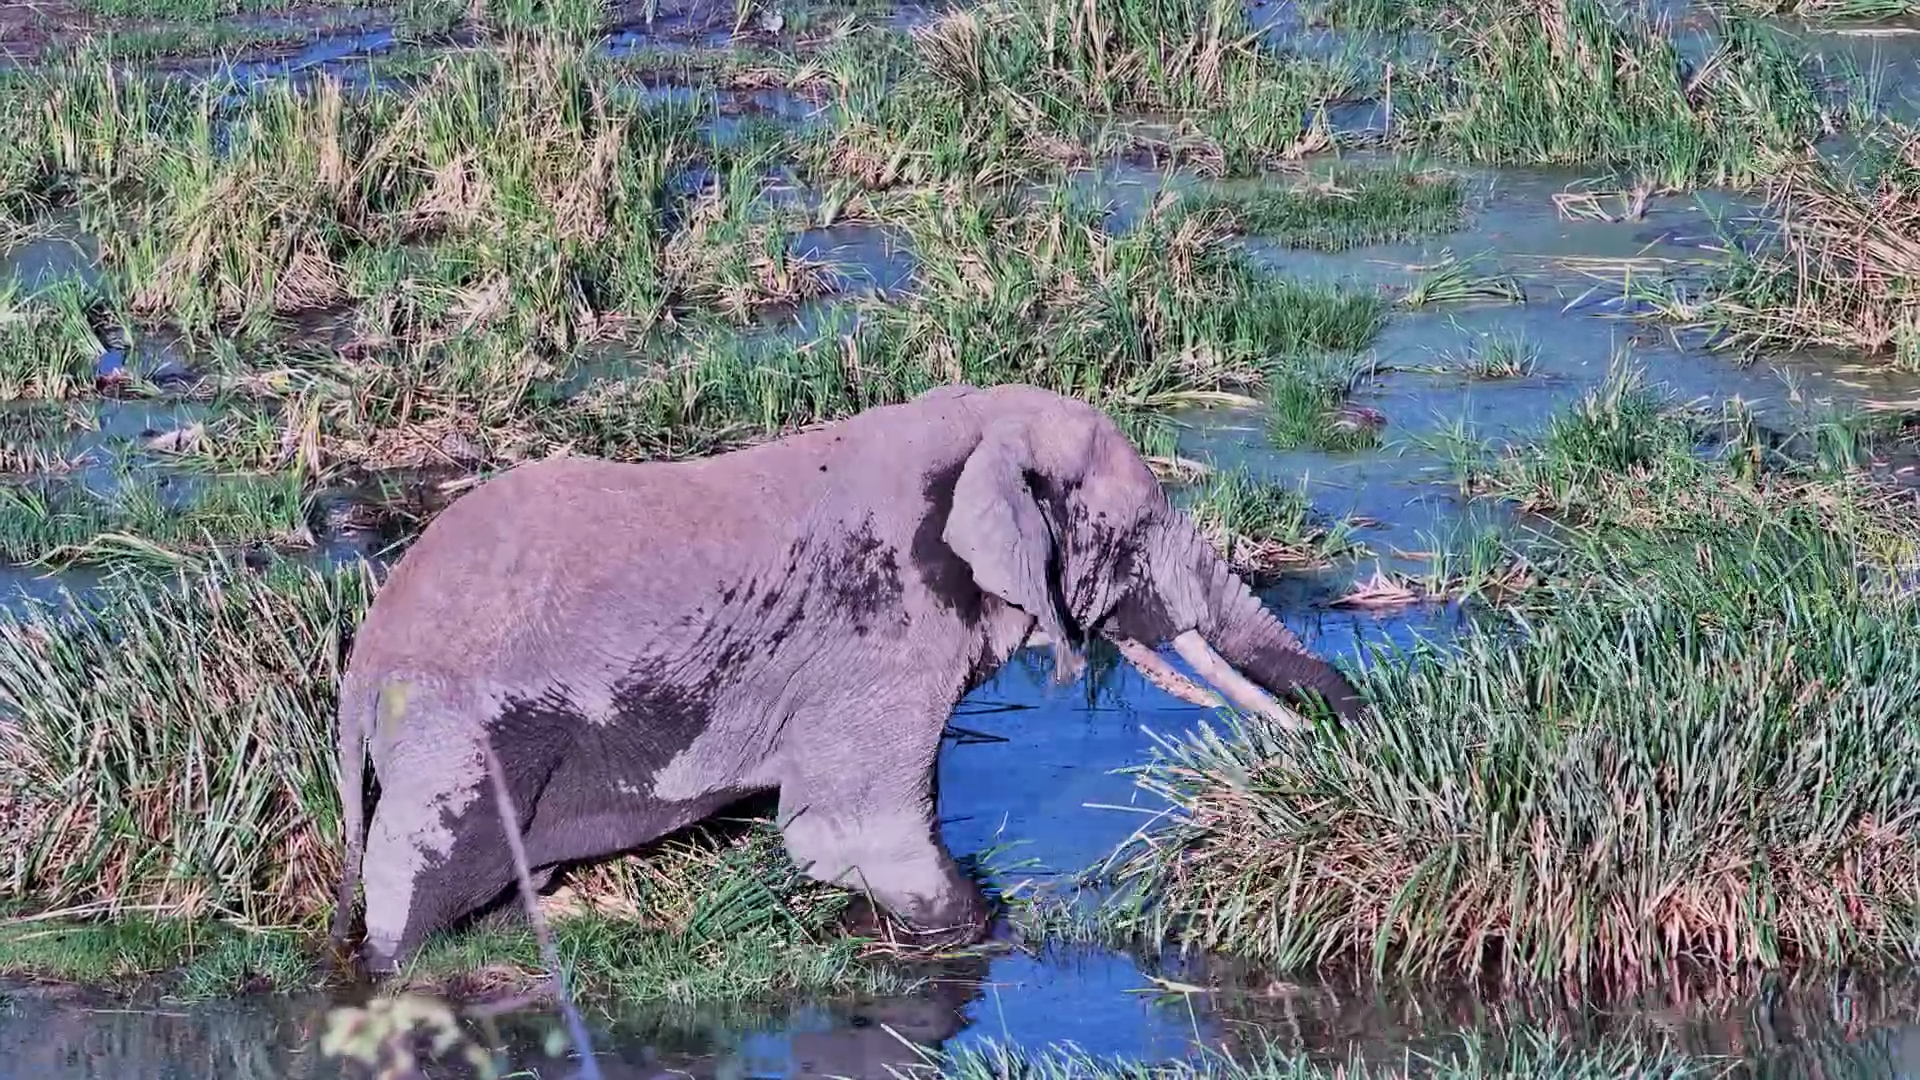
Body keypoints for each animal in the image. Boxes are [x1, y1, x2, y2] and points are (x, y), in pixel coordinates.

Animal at [328, 382, 1366, 973]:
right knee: (415, 892)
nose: (1355, 720)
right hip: (457, 738)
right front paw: (989, 938)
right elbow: (851, 832)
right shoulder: (882, 632)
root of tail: (363, 665)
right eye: (1137, 531)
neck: (971, 425)